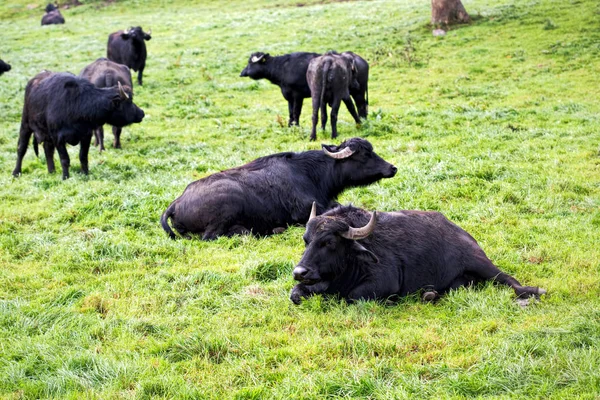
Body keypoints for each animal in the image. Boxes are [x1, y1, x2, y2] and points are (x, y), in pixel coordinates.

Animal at [13, 71, 145, 179]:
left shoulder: (86, 135)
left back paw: (51, 171)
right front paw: (65, 177)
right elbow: (64, 159)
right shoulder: (58, 138)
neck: (77, 106)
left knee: (47, 149)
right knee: (21, 148)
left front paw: (85, 173)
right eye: (130, 100)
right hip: (25, 124)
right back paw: (16, 172)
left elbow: (83, 156)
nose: (142, 113)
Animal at [239, 51, 370, 126]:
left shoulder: (298, 96)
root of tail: (360, 60)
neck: (283, 68)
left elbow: (296, 112)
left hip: (359, 91)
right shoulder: (289, 97)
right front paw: (290, 125)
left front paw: (296, 125)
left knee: (361, 105)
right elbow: (290, 112)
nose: (242, 73)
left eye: (250, 63)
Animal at [290, 205, 548, 304]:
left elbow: (352, 296)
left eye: (329, 242)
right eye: (306, 240)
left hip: (481, 262)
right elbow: (295, 294)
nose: (299, 272)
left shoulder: (383, 283)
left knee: (509, 280)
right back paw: (430, 295)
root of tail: (462, 233)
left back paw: (533, 291)